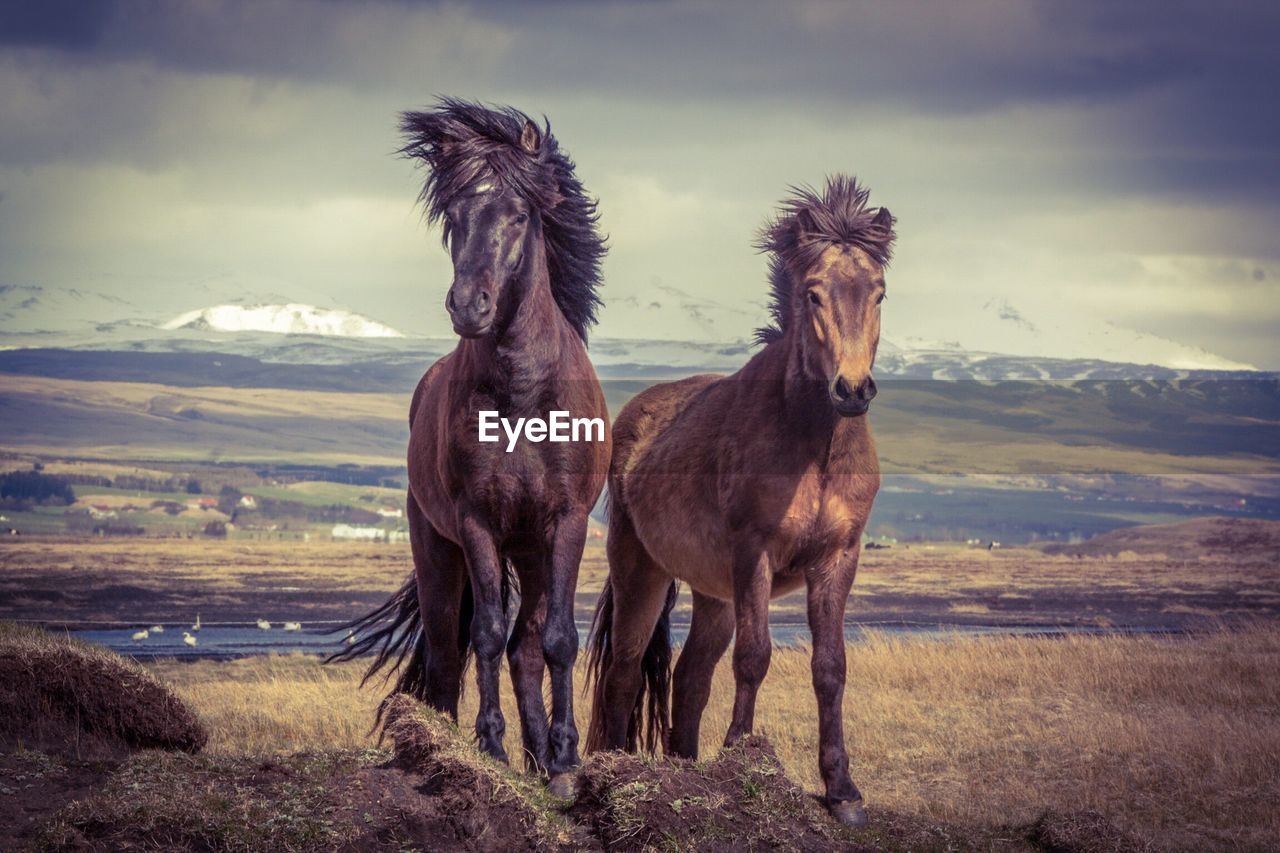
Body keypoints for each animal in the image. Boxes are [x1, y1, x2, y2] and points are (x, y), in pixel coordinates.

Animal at [330, 97, 609, 788]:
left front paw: (565, 760)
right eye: (453, 217)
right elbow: (482, 634)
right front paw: (490, 748)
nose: (468, 306)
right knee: (448, 652)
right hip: (438, 550)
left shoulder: (567, 522)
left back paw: (542, 758)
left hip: (532, 550)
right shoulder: (477, 521)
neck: (522, 394)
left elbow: (558, 640)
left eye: (517, 215)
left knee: (527, 646)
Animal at [586, 178, 896, 824]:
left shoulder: (838, 558)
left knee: (689, 677)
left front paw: (842, 789)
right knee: (625, 668)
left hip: (714, 593)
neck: (814, 444)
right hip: (641, 570)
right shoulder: (755, 552)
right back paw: (613, 767)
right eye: (812, 294)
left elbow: (830, 668)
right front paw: (743, 759)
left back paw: (684, 769)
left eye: (879, 292)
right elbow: (755, 657)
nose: (853, 390)